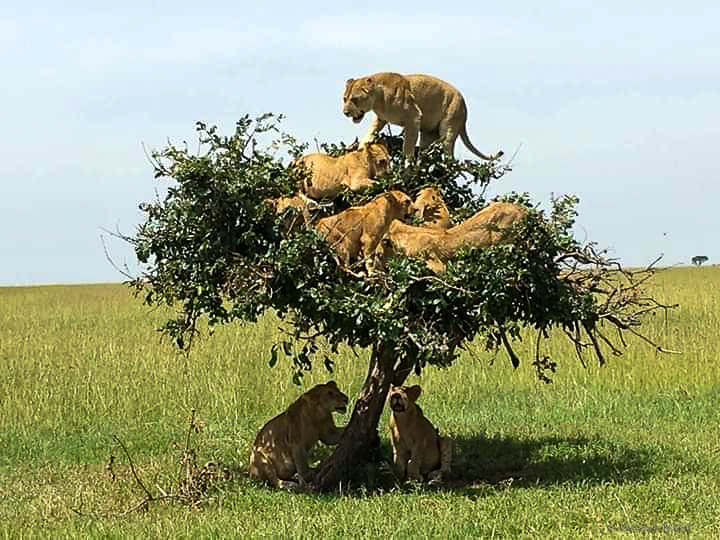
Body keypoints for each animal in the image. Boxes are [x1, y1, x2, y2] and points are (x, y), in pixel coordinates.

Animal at [342, 73, 500, 160]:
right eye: (344, 99)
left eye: (354, 99)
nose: (345, 113)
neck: (378, 100)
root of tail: (465, 107)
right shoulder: (381, 119)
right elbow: (369, 133)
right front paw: (360, 149)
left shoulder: (414, 117)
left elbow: (408, 147)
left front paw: (406, 166)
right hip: (427, 135)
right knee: (424, 152)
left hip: (449, 128)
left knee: (450, 156)